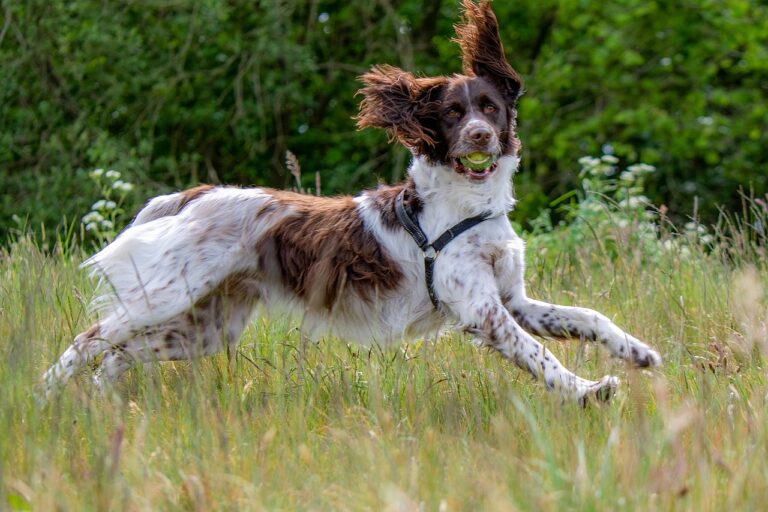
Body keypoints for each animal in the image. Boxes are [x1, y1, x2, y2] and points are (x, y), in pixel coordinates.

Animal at [40, 2, 660, 406]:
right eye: (452, 113)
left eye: (490, 106)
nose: (481, 136)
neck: (467, 206)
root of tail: (197, 193)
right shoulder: (482, 311)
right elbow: (541, 357)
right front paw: (587, 391)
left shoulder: (515, 299)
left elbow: (587, 318)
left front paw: (637, 353)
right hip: (168, 295)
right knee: (90, 339)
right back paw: (45, 394)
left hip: (205, 327)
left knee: (119, 356)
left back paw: (100, 403)